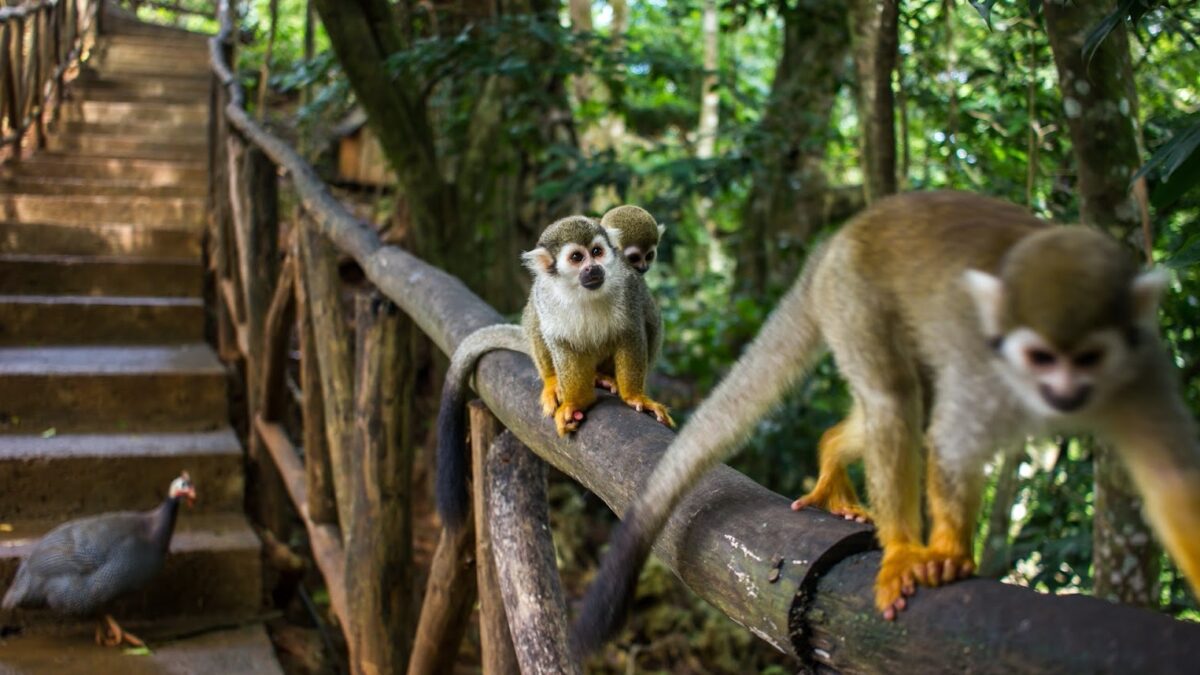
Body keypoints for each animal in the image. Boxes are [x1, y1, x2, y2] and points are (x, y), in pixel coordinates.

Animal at [436, 215, 675, 530]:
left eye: (597, 252)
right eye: (576, 258)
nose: (593, 268)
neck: (583, 292)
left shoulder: (628, 288)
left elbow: (631, 333)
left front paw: (635, 396)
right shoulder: (547, 297)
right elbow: (561, 343)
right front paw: (574, 402)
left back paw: (605, 378)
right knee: (537, 319)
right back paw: (555, 383)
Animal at [571, 190, 1200, 656]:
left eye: (1089, 357)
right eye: (1040, 356)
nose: (1064, 392)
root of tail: (840, 239)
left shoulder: (1141, 361)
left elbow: (1173, 479)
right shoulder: (984, 361)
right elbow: (949, 442)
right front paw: (938, 554)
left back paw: (832, 450)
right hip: (853, 295)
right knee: (897, 399)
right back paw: (892, 538)